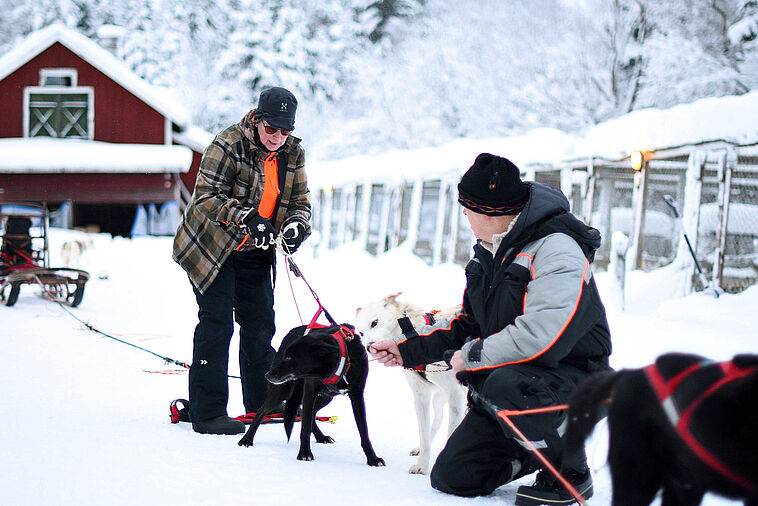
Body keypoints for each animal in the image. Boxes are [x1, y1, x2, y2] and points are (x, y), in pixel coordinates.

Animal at [356, 292, 470, 474]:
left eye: (374, 322)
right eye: (361, 333)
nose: (369, 347)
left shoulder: (456, 394)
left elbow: (452, 432)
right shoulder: (421, 397)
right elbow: (424, 436)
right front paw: (422, 465)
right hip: (438, 397)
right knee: (438, 418)